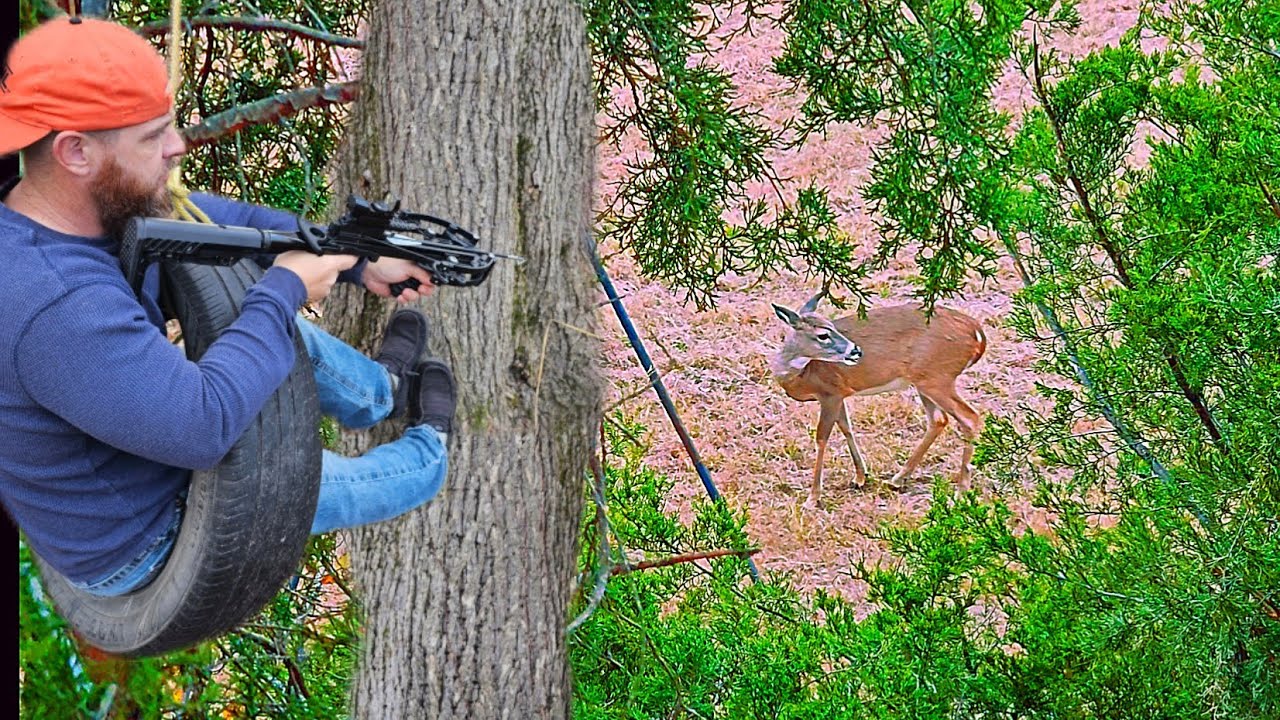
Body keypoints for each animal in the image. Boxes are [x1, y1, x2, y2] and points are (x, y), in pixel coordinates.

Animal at [769, 292, 987, 507]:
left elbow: (822, 438)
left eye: (831, 328)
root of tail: (977, 333)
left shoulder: (830, 393)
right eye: (823, 334)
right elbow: (847, 428)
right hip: (923, 380)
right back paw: (898, 479)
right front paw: (860, 477)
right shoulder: (839, 393)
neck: (801, 374)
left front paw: (813, 497)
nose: (856, 351)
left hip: (938, 377)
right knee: (939, 420)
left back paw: (961, 492)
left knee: (970, 418)